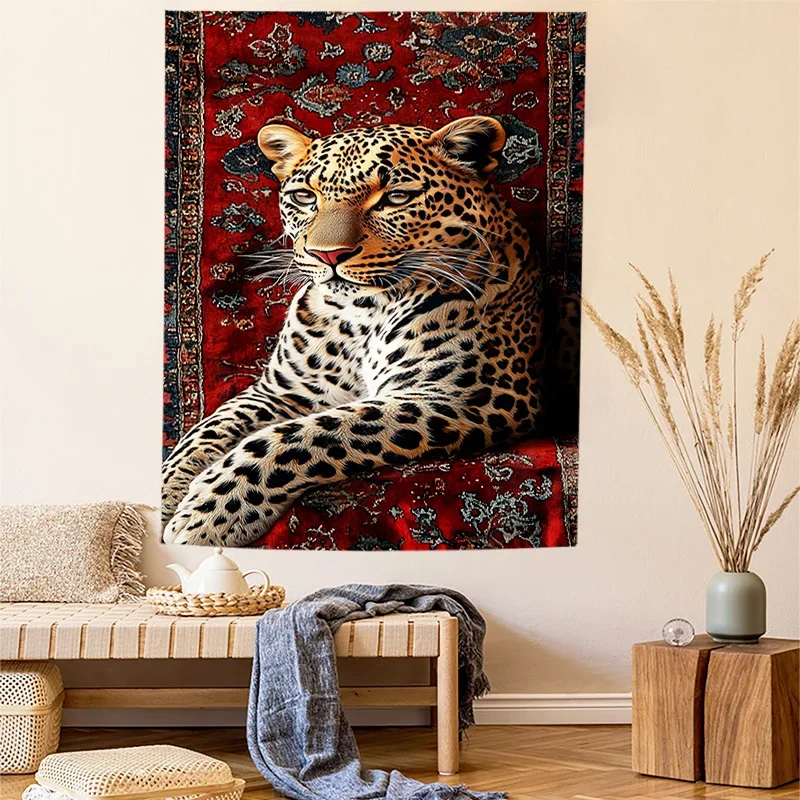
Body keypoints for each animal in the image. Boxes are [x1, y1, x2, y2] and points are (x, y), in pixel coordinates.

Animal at [162, 115, 544, 546]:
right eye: (304, 197)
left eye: (396, 198)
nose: (327, 255)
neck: (364, 314)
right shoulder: (283, 391)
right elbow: (206, 431)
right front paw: (163, 492)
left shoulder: (466, 395)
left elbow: (308, 434)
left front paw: (209, 509)